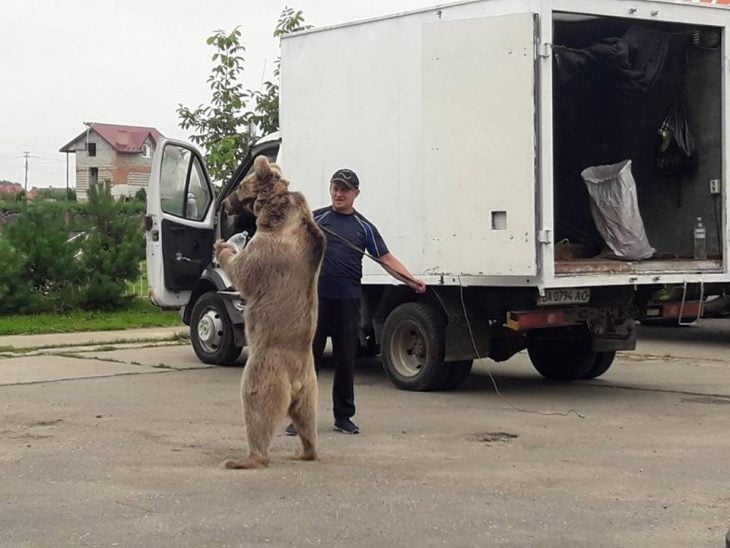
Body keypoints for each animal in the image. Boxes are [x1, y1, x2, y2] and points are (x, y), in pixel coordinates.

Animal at [212, 155, 322, 470]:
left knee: (256, 406)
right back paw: (305, 451)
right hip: (311, 387)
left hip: (266, 369)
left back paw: (246, 458)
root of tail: (295, 380)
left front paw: (224, 247)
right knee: (308, 420)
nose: (225, 203)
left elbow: (244, 271)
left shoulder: (269, 249)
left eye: (241, 185)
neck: (272, 208)